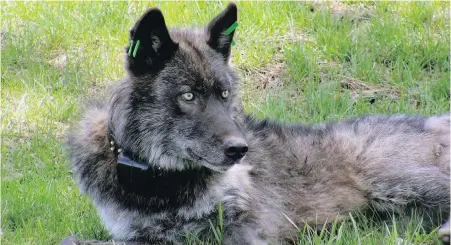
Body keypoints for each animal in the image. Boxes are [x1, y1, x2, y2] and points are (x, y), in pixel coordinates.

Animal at [61, 3, 451, 245]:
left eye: (224, 93)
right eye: (188, 96)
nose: (239, 149)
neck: (165, 186)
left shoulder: (250, 223)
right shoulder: (134, 234)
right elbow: (73, 239)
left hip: (392, 178)